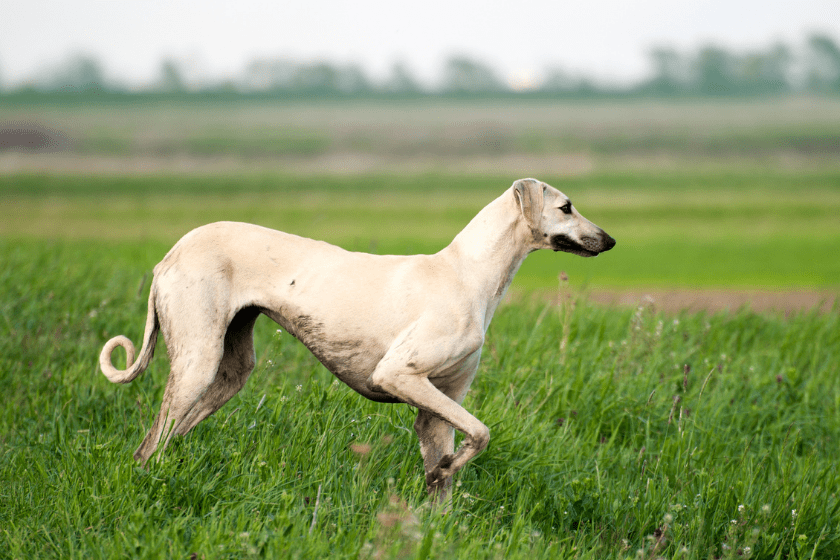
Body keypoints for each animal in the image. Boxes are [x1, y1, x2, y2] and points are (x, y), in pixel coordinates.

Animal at [100, 177, 616, 500]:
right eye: (566, 207)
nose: (609, 241)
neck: (468, 273)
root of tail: (169, 255)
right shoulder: (399, 375)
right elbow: (483, 433)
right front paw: (449, 467)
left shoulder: (438, 408)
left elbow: (446, 475)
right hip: (197, 361)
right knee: (149, 446)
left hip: (229, 373)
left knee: (167, 439)